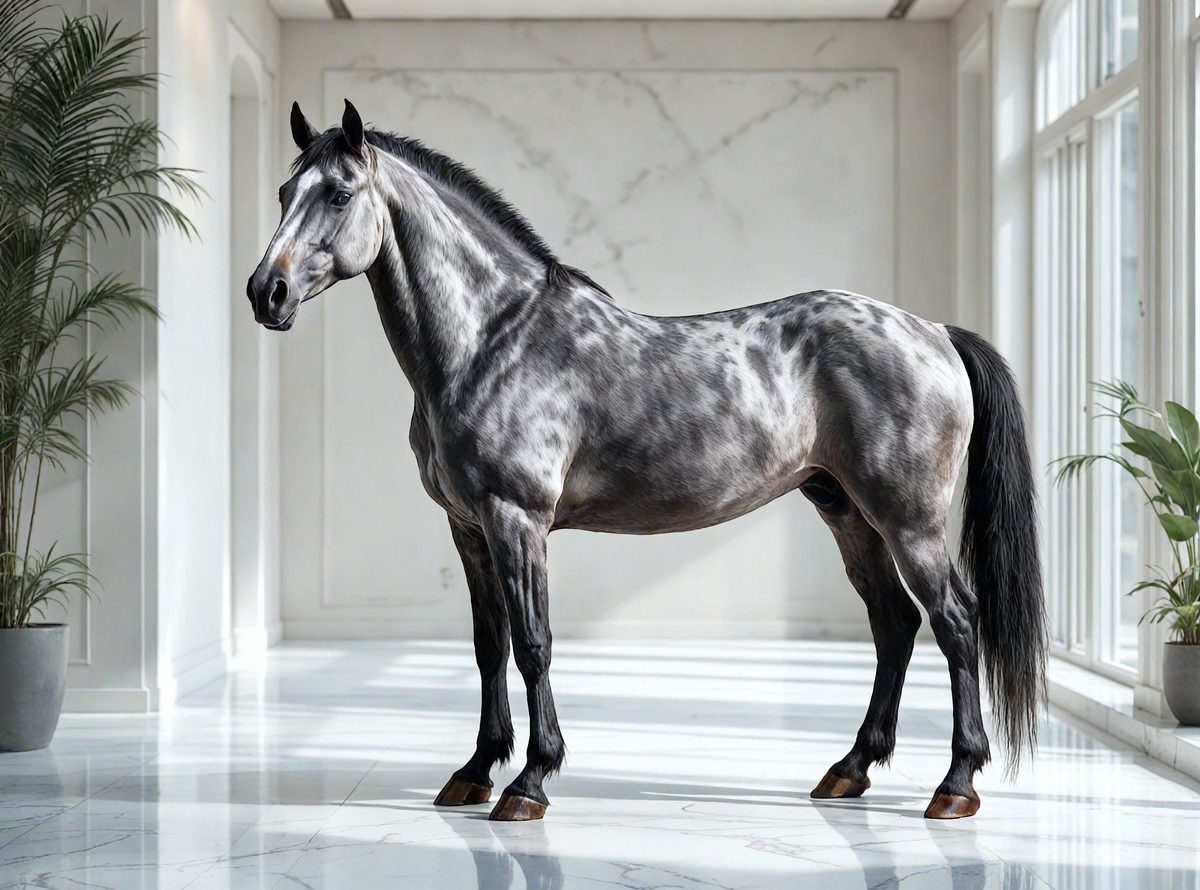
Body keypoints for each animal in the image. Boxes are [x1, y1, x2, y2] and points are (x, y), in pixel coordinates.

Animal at [247, 99, 1046, 823]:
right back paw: (849, 769)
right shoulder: (469, 528)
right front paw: (473, 772)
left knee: (955, 621)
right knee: (894, 623)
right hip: (846, 510)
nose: (266, 292)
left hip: (908, 520)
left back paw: (956, 784)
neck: (492, 339)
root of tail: (933, 331)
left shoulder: (517, 520)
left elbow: (533, 645)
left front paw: (529, 782)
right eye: (284, 192)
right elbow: (487, 648)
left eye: (339, 192)